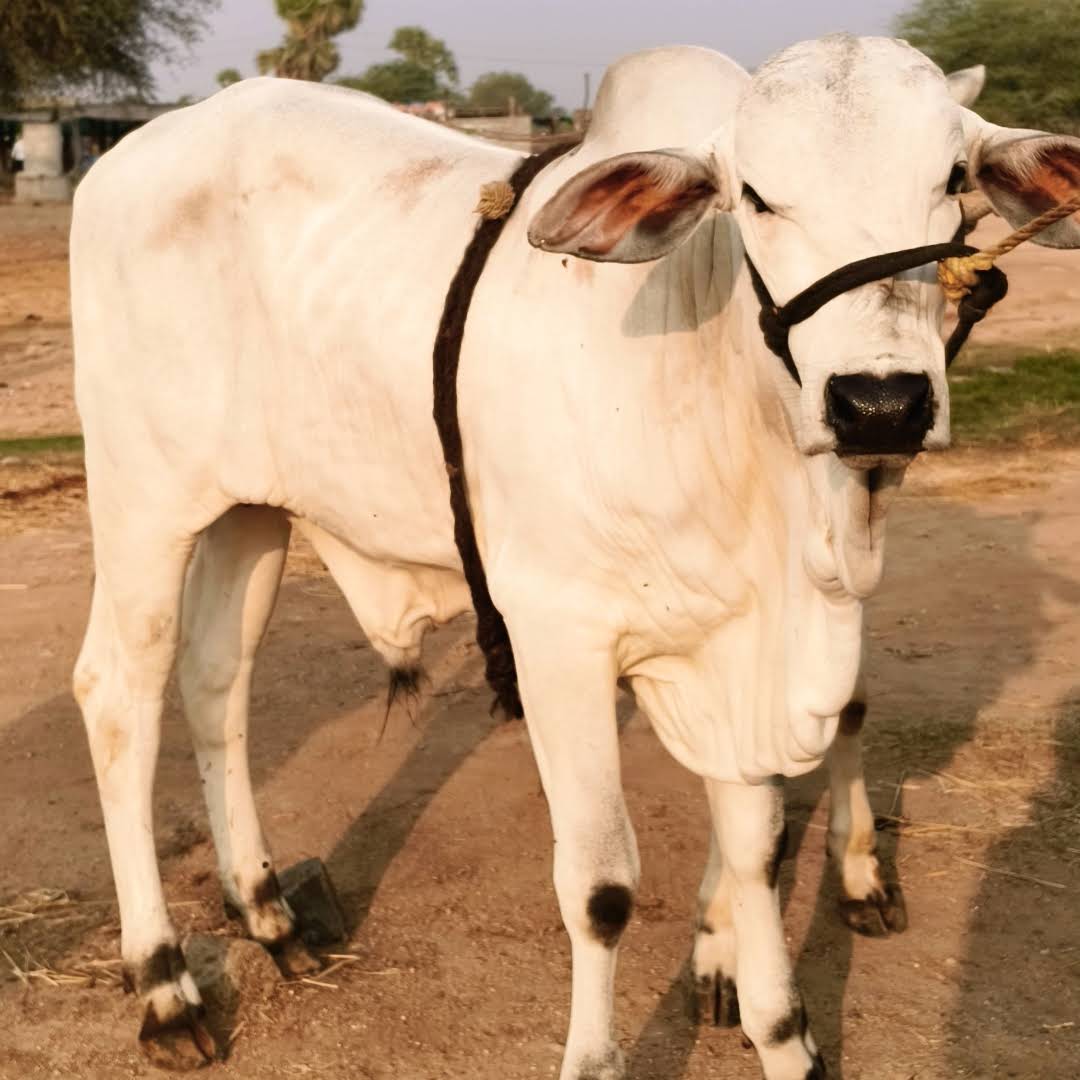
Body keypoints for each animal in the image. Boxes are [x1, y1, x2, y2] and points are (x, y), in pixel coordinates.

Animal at [70, 34, 1080, 1079]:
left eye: (954, 180)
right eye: (755, 196)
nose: (880, 403)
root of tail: (132, 155)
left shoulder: (742, 644)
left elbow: (757, 849)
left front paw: (779, 1030)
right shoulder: (558, 639)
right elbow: (600, 889)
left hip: (250, 511)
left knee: (215, 684)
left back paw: (270, 915)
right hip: (141, 502)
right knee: (119, 695)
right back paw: (164, 986)